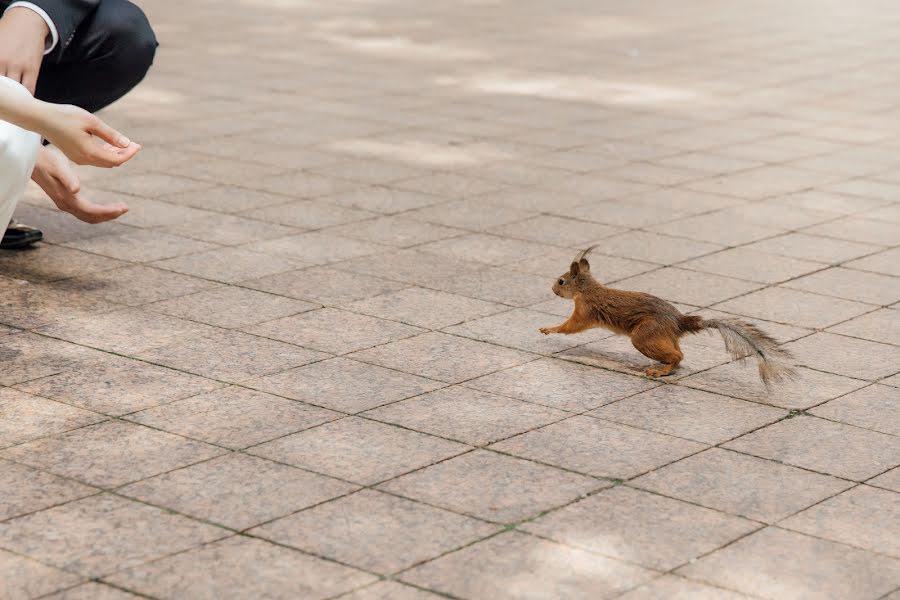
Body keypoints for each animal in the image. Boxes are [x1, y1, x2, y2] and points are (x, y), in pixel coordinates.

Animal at [536, 246, 800, 386]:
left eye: (561, 281)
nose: (552, 289)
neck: (588, 289)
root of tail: (679, 322)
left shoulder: (585, 310)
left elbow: (571, 326)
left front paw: (549, 329)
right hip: (663, 336)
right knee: (679, 354)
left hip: (644, 336)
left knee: (677, 356)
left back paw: (659, 370)